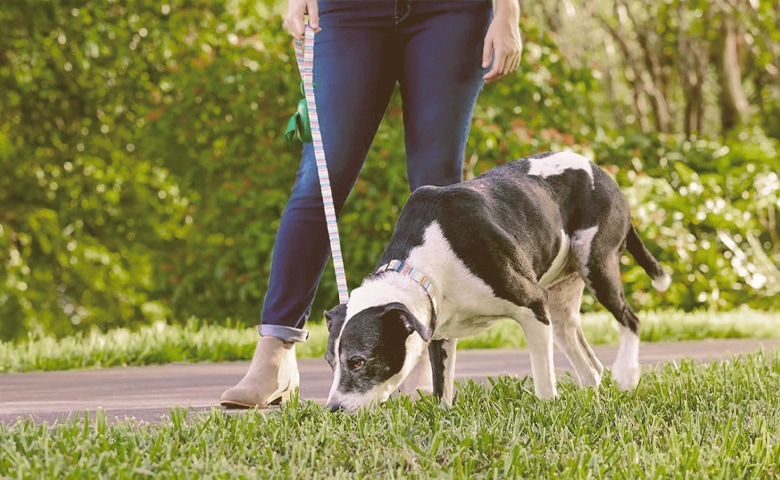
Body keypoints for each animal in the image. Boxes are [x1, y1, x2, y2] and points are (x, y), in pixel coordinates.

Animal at [322, 152, 672, 410]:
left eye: (358, 361)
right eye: (329, 362)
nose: (334, 409)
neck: (421, 266)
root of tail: (601, 172)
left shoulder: (533, 306)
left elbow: (544, 381)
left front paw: (547, 410)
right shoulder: (440, 332)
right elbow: (442, 389)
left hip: (597, 265)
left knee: (630, 319)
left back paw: (627, 374)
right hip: (562, 302)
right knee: (585, 357)